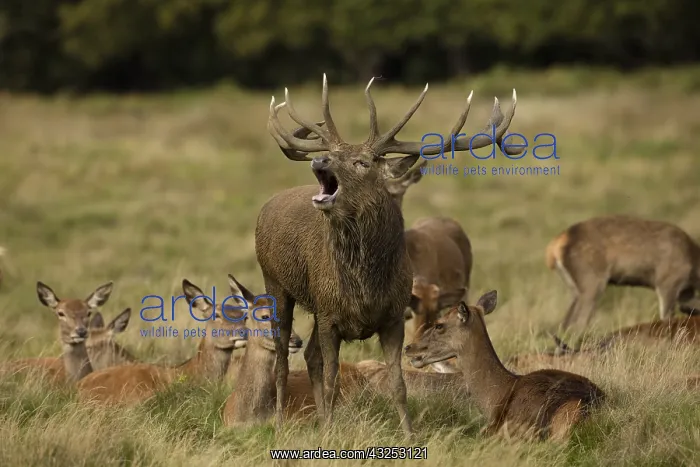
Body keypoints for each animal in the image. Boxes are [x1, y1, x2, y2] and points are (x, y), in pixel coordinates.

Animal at [258, 73, 521, 435]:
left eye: (363, 162)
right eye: (330, 153)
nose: (319, 160)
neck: (365, 288)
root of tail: (266, 208)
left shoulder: (393, 315)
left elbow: (398, 383)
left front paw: (409, 435)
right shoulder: (330, 316)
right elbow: (332, 379)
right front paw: (330, 432)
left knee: (309, 356)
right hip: (275, 284)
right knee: (283, 358)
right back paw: (283, 422)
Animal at [546, 215, 700, 330]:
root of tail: (555, 246)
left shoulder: (685, 292)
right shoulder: (667, 283)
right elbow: (667, 318)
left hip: (575, 289)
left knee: (565, 324)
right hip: (592, 283)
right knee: (577, 323)